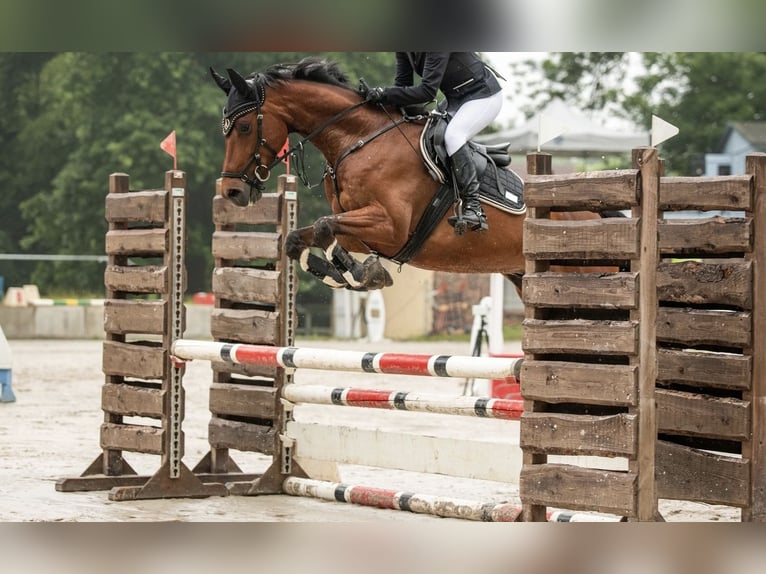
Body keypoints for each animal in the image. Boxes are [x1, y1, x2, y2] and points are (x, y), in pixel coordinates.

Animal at [210, 57, 600, 292]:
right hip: (523, 274)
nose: (231, 192)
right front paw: (349, 274)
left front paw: (361, 274)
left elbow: (323, 226)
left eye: (244, 127)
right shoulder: (364, 230)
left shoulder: (391, 226)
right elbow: (299, 239)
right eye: (225, 128)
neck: (358, 140)